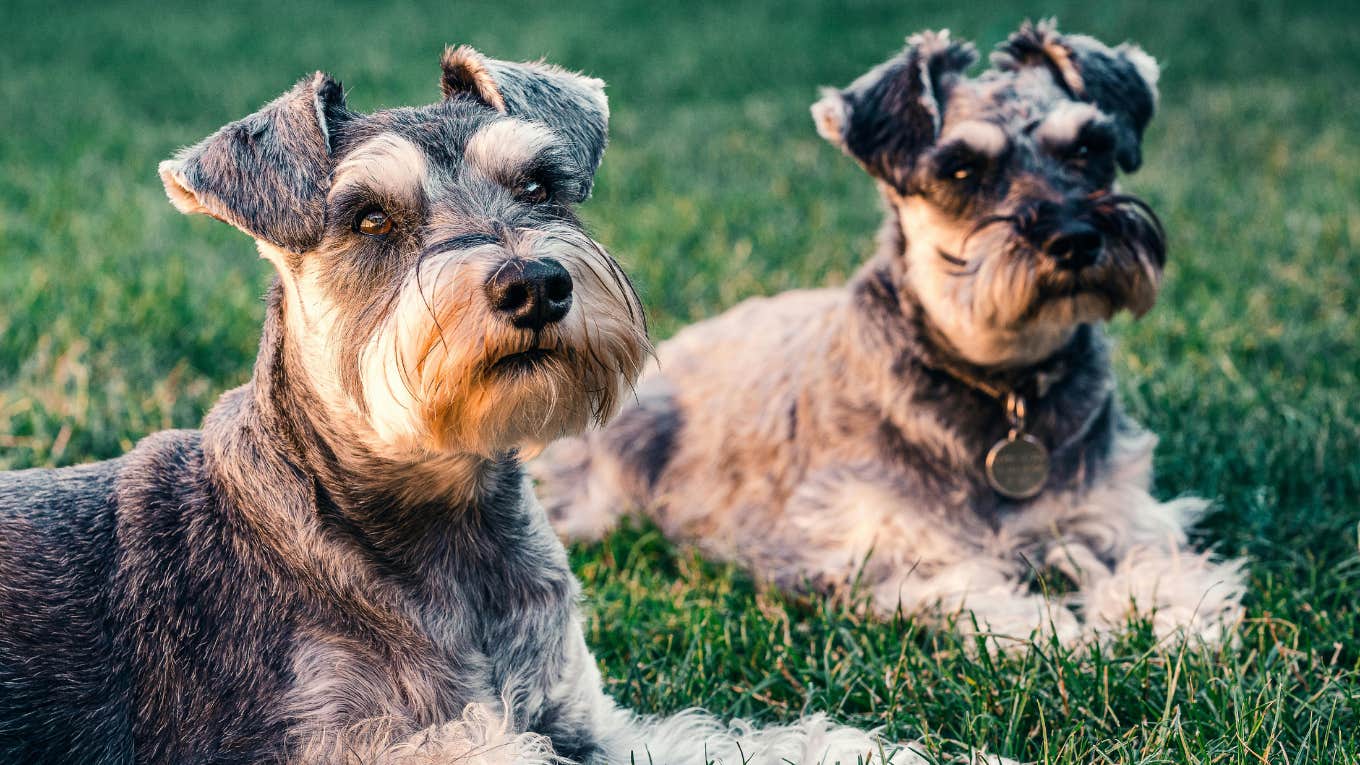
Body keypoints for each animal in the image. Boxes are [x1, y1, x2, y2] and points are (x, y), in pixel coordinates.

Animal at [0, 49, 962, 762]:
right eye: (370, 218)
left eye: (539, 184)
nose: (535, 283)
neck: (444, 523)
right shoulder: (368, 741)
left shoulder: (583, 718)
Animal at [530, 20, 1245, 645]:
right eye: (961, 169)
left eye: (1089, 148)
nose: (1074, 239)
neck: (1004, 384)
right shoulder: (882, 542)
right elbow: (974, 585)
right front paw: (1056, 632)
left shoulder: (1120, 510)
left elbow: (1157, 562)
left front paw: (1172, 619)